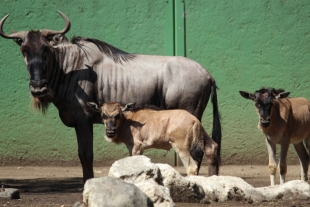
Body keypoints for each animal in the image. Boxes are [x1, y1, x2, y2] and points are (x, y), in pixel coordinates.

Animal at [86, 101, 220, 175]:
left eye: (117, 115)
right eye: (103, 115)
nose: (110, 132)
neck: (128, 120)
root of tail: (194, 120)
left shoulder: (135, 147)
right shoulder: (140, 149)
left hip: (182, 148)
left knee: (191, 167)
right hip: (203, 139)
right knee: (212, 149)